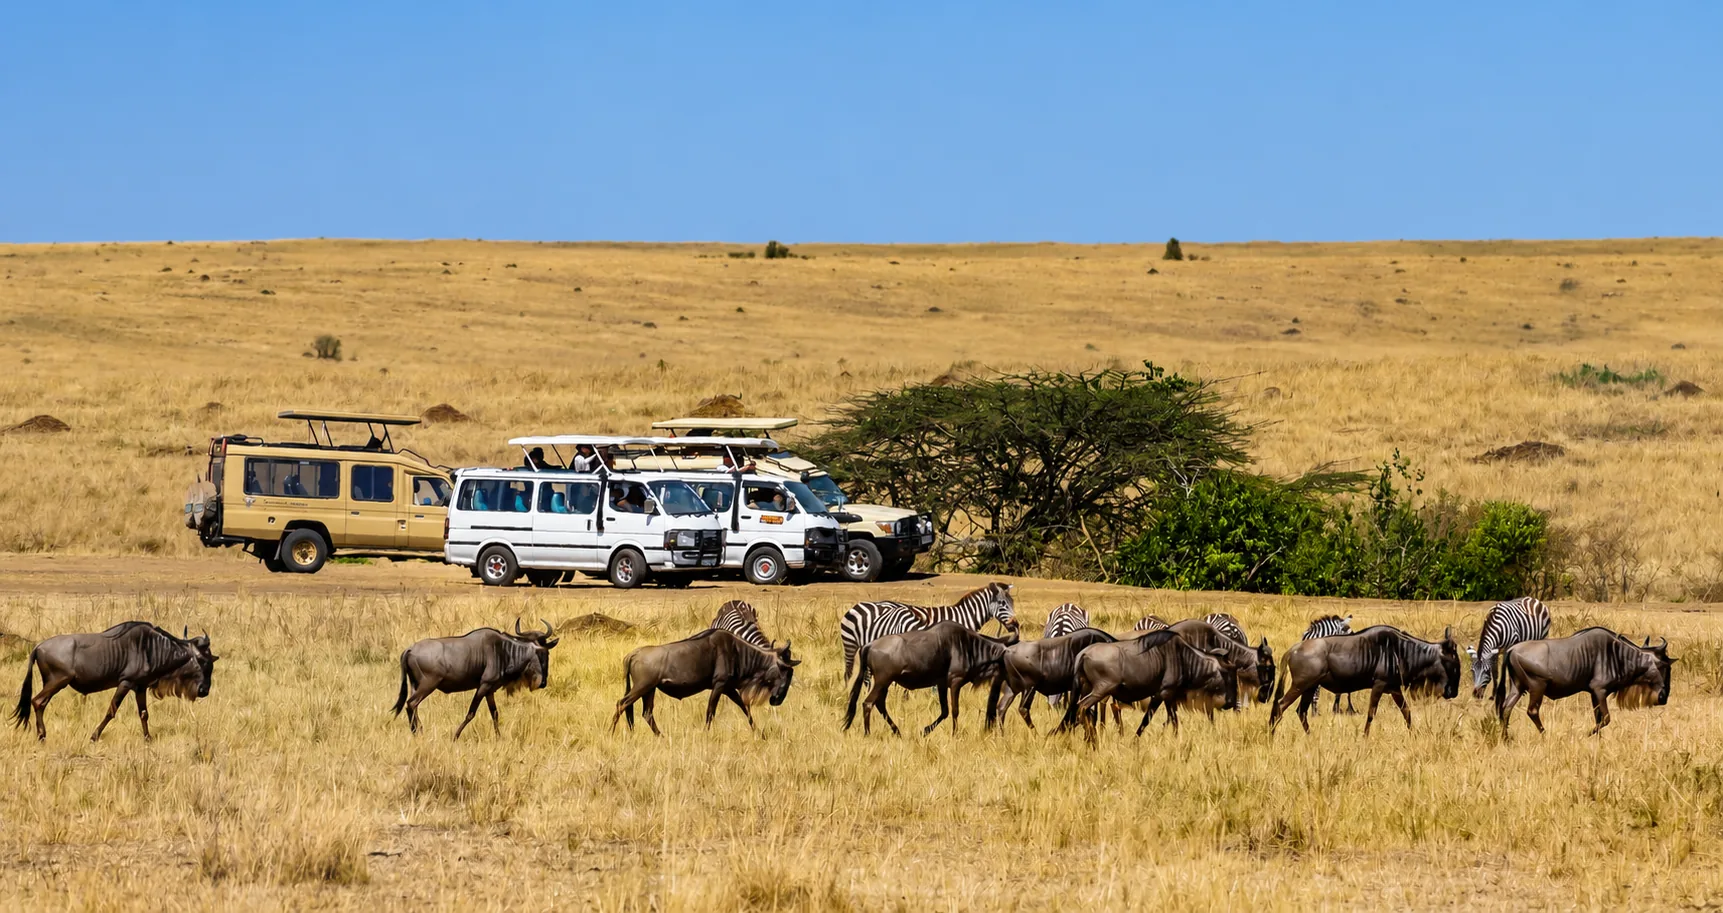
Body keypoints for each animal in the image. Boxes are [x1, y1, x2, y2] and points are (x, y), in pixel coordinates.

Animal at [840, 582, 1018, 684]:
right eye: (1002, 603)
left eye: (1012, 602)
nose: (1015, 624)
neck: (963, 616)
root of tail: (860, 604)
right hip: (850, 645)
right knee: (848, 673)